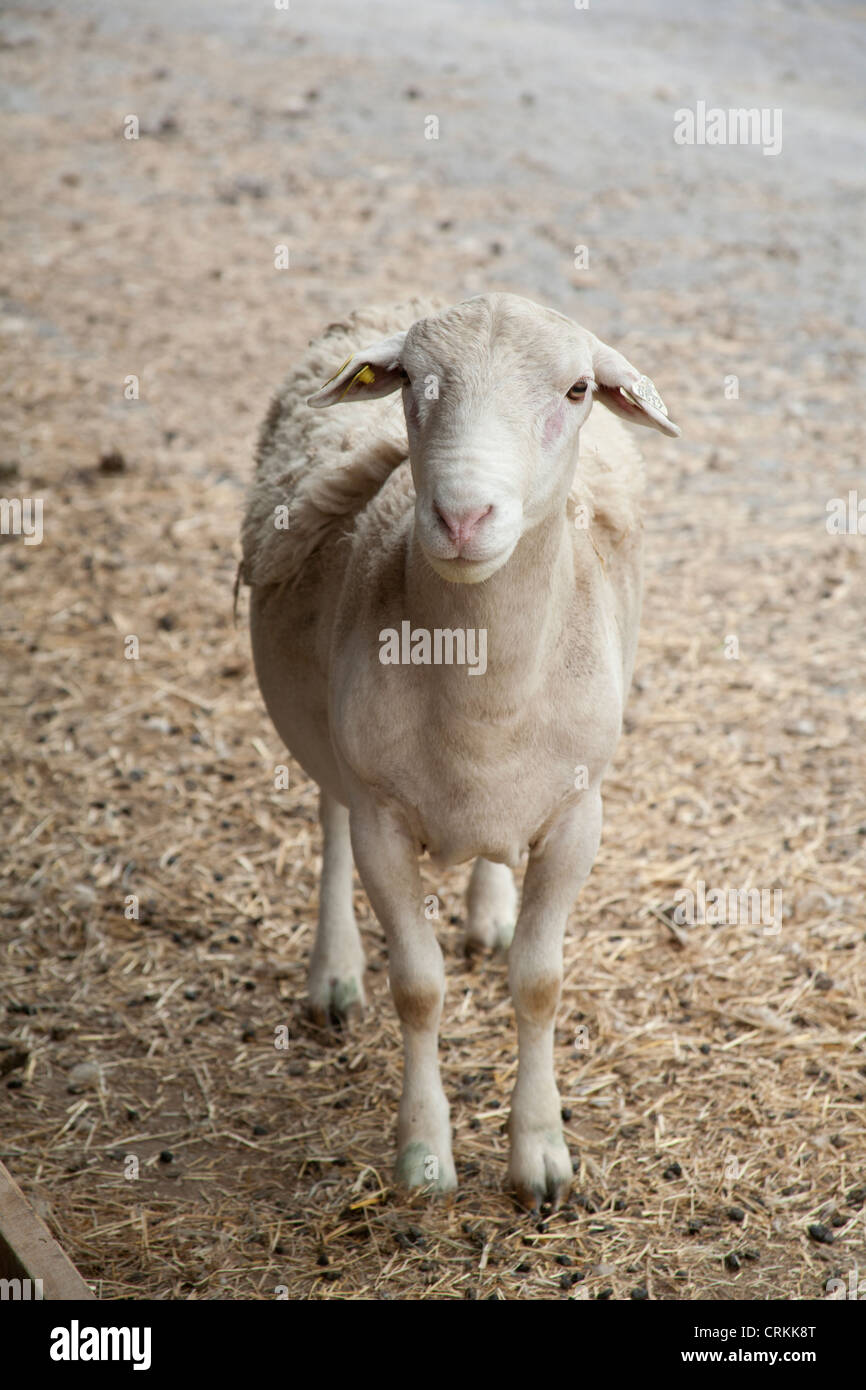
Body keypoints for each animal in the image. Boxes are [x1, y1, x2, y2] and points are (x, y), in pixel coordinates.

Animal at [240, 293, 681, 1206]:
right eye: (409, 380)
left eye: (579, 390)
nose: (463, 516)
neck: (486, 703)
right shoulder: (380, 816)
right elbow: (418, 988)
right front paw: (423, 1157)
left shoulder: (578, 817)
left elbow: (541, 984)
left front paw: (540, 1156)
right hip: (327, 741)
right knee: (328, 820)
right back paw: (334, 974)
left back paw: (490, 912)